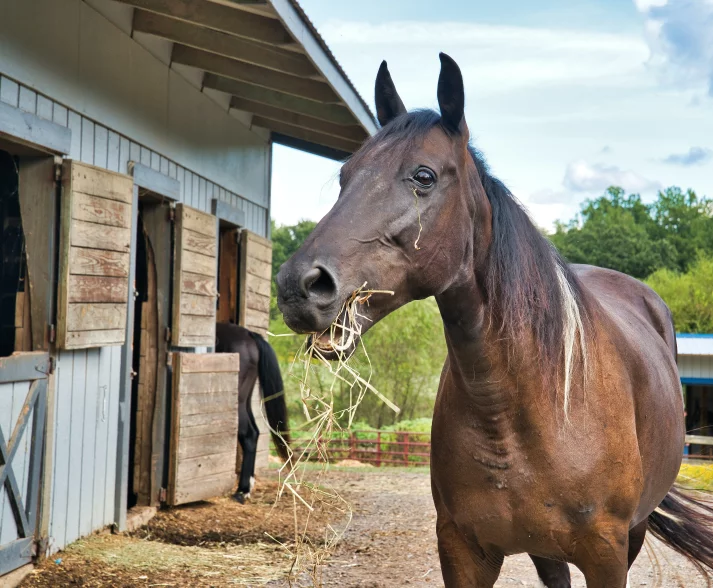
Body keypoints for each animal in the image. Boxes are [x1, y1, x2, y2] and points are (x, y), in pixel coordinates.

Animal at [215, 322, 290, 503]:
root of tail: (249, 335)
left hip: (238, 401)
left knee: (248, 434)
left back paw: (242, 490)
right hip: (245, 399)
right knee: (255, 432)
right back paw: (247, 486)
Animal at [274, 54, 713, 587]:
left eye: (424, 176)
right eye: (345, 175)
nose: (299, 285)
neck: (519, 413)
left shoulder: (607, 555)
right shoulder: (463, 551)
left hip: (632, 532)